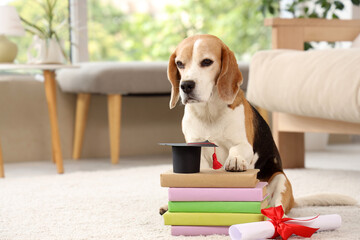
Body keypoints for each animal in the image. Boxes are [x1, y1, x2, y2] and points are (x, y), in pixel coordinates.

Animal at [166, 34, 296, 214]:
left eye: (206, 62)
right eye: (179, 64)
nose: (186, 85)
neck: (209, 112)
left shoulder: (244, 144)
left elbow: (237, 149)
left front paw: (234, 160)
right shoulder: (194, 145)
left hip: (280, 179)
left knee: (278, 205)